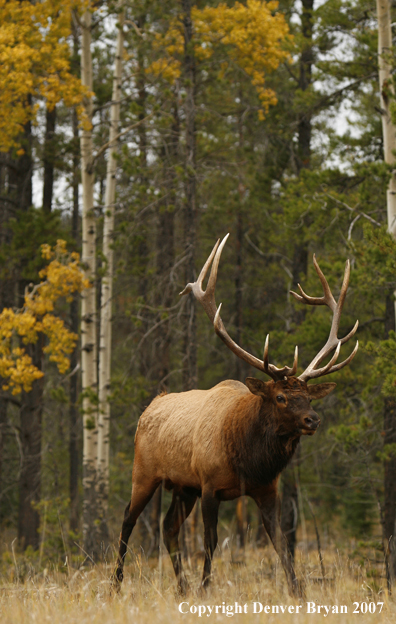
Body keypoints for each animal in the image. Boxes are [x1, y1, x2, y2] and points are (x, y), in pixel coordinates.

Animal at [113, 234, 358, 596]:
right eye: (281, 397)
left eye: (308, 397)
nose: (312, 420)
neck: (248, 460)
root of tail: (149, 409)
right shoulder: (209, 486)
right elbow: (211, 541)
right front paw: (205, 588)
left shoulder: (267, 490)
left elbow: (282, 544)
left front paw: (298, 591)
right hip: (144, 472)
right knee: (128, 518)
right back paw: (116, 583)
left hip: (182, 486)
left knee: (168, 527)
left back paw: (181, 586)